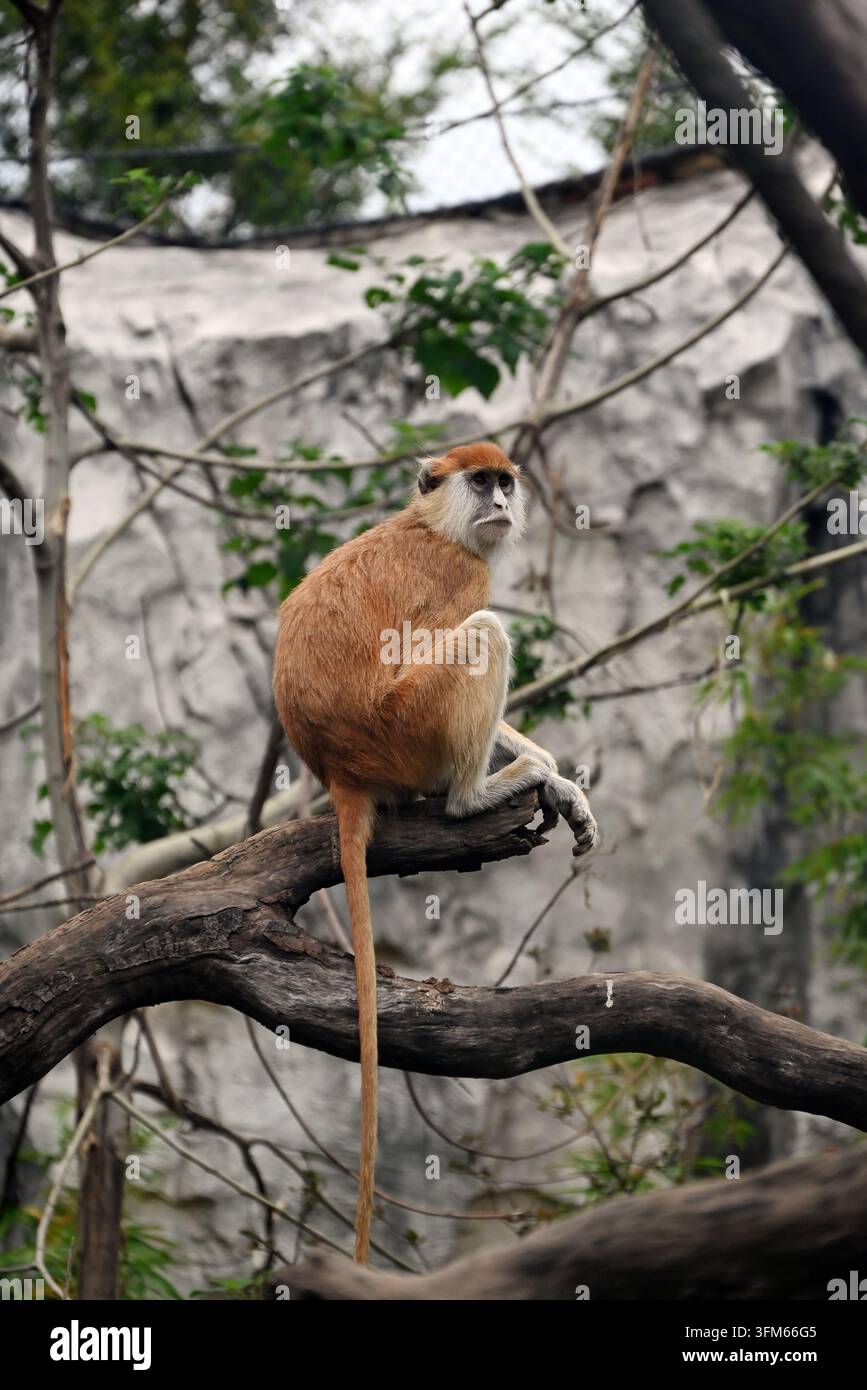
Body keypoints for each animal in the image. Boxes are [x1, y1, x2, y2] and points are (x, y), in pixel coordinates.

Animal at [273, 441, 597, 1263]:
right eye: (482, 481)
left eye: (506, 481)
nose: (502, 503)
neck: (431, 524)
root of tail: (343, 774)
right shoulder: (460, 573)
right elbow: (454, 628)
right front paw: (536, 773)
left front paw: (563, 786)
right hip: (405, 728)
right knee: (484, 634)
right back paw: (471, 796)